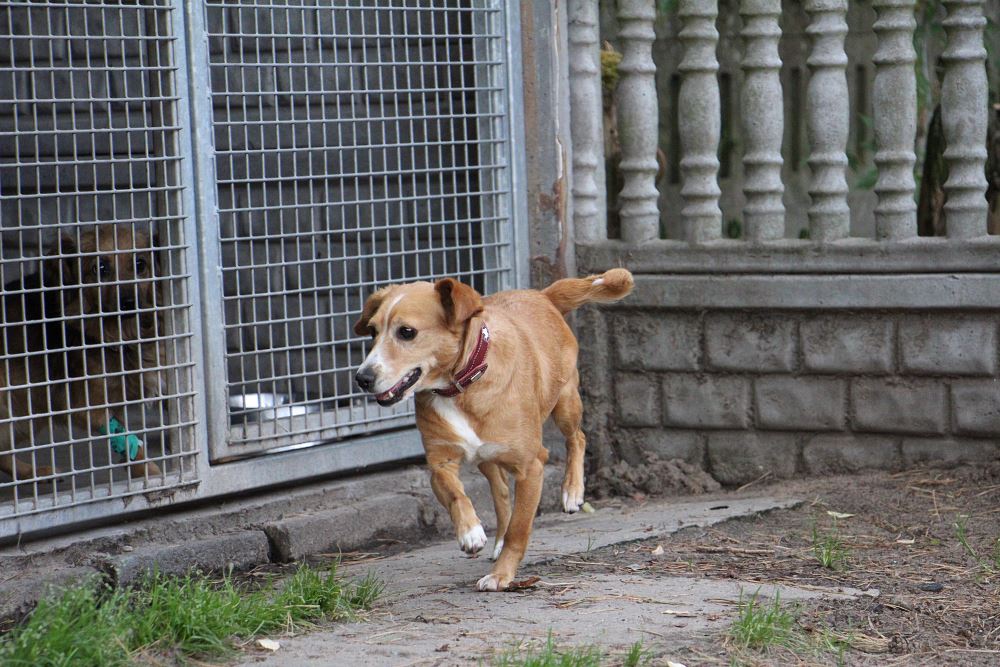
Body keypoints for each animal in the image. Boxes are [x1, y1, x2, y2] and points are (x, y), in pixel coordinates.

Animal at [0, 225, 164, 483]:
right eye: (100, 268)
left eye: (140, 264)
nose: (129, 302)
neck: (117, 334)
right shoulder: (86, 405)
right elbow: (123, 437)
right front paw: (150, 471)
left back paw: (36, 473)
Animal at [353, 268, 634, 590]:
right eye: (372, 332)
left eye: (406, 332)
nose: (362, 378)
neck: (460, 386)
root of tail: (543, 295)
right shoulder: (440, 464)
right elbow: (457, 494)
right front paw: (470, 532)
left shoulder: (531, 469)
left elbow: (519, 529)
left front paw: (502, 575)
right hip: (487, 458)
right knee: (500, 493)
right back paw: (497, 536)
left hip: (566, 403)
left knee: (577, 437)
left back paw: (572, 491)